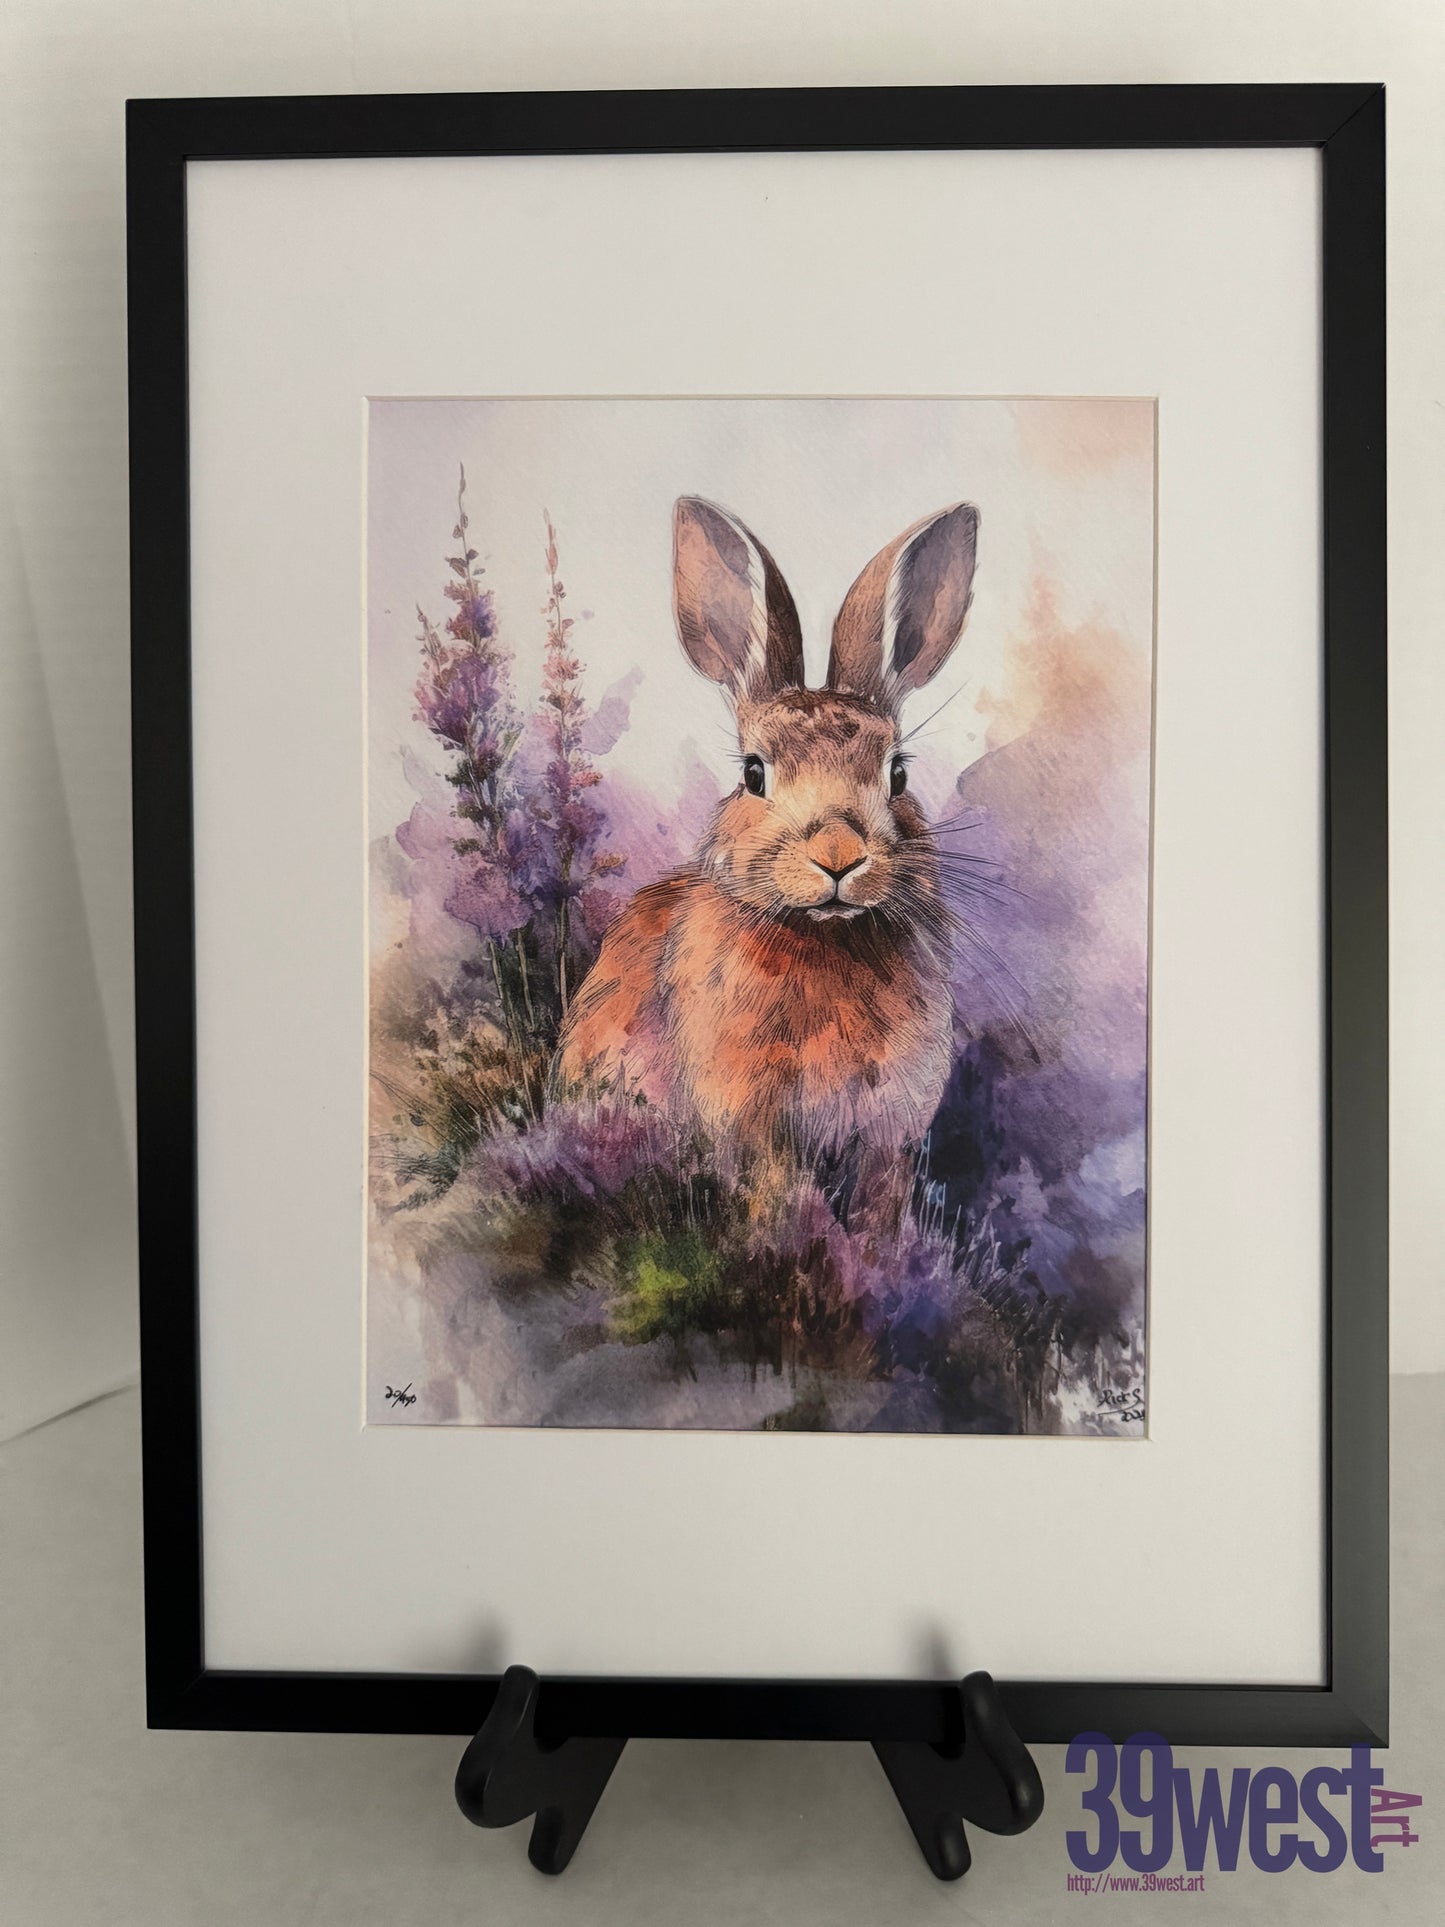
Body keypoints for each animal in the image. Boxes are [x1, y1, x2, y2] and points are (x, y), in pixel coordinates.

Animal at [554, 494, 979, 1233]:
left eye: (897, 773)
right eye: (753, 772)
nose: (838, 853)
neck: (824, 936)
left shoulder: (889, 1128)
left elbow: (878, 1204)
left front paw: (871, 1253)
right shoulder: (749, 1116)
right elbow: (779, 1194)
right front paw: (799, 1239)